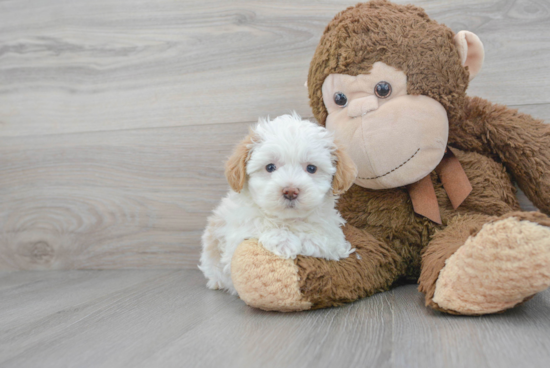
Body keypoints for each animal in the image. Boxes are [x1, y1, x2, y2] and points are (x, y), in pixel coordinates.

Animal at [198, 113, 358, 294]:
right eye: (270, 167)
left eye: (311, 168)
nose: (290, 191)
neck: (288, 219)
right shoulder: (236, 236)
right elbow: (258, 225)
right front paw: (284, 241)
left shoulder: (335, 237)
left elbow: (324, 240)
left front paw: (305, 239)